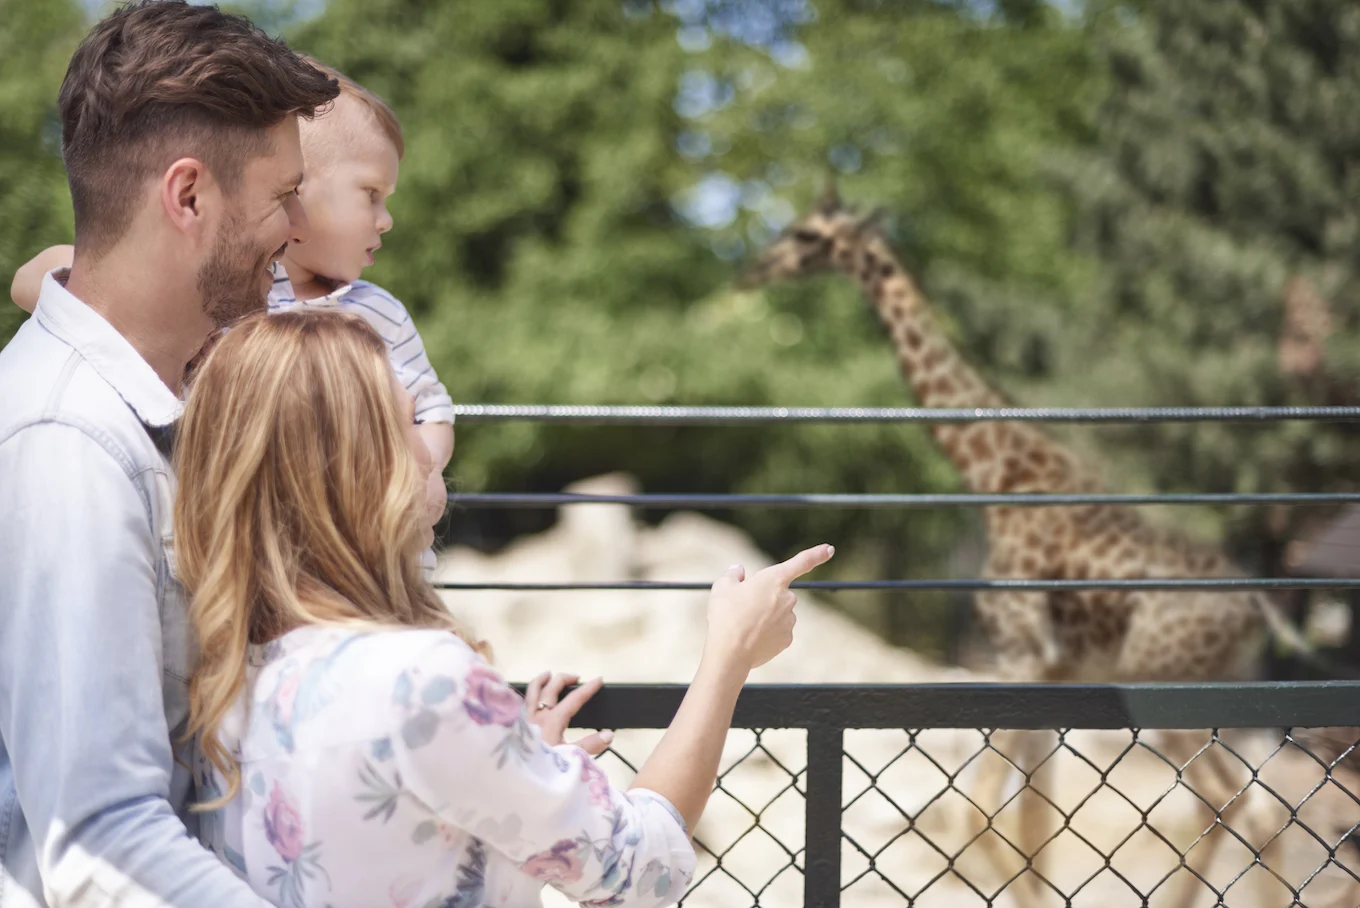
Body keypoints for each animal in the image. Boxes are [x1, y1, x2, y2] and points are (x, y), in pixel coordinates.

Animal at [739, 186, 1321, 908]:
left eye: (807, 234)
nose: (754, 270)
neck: (992, 475)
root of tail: (1256, 610)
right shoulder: (1051, 673)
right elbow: (1034, 825)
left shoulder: (1022, 655)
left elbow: (981, 810)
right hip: (1231, 694)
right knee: (1264, 809)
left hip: (1160, 680)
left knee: (1226, 801)